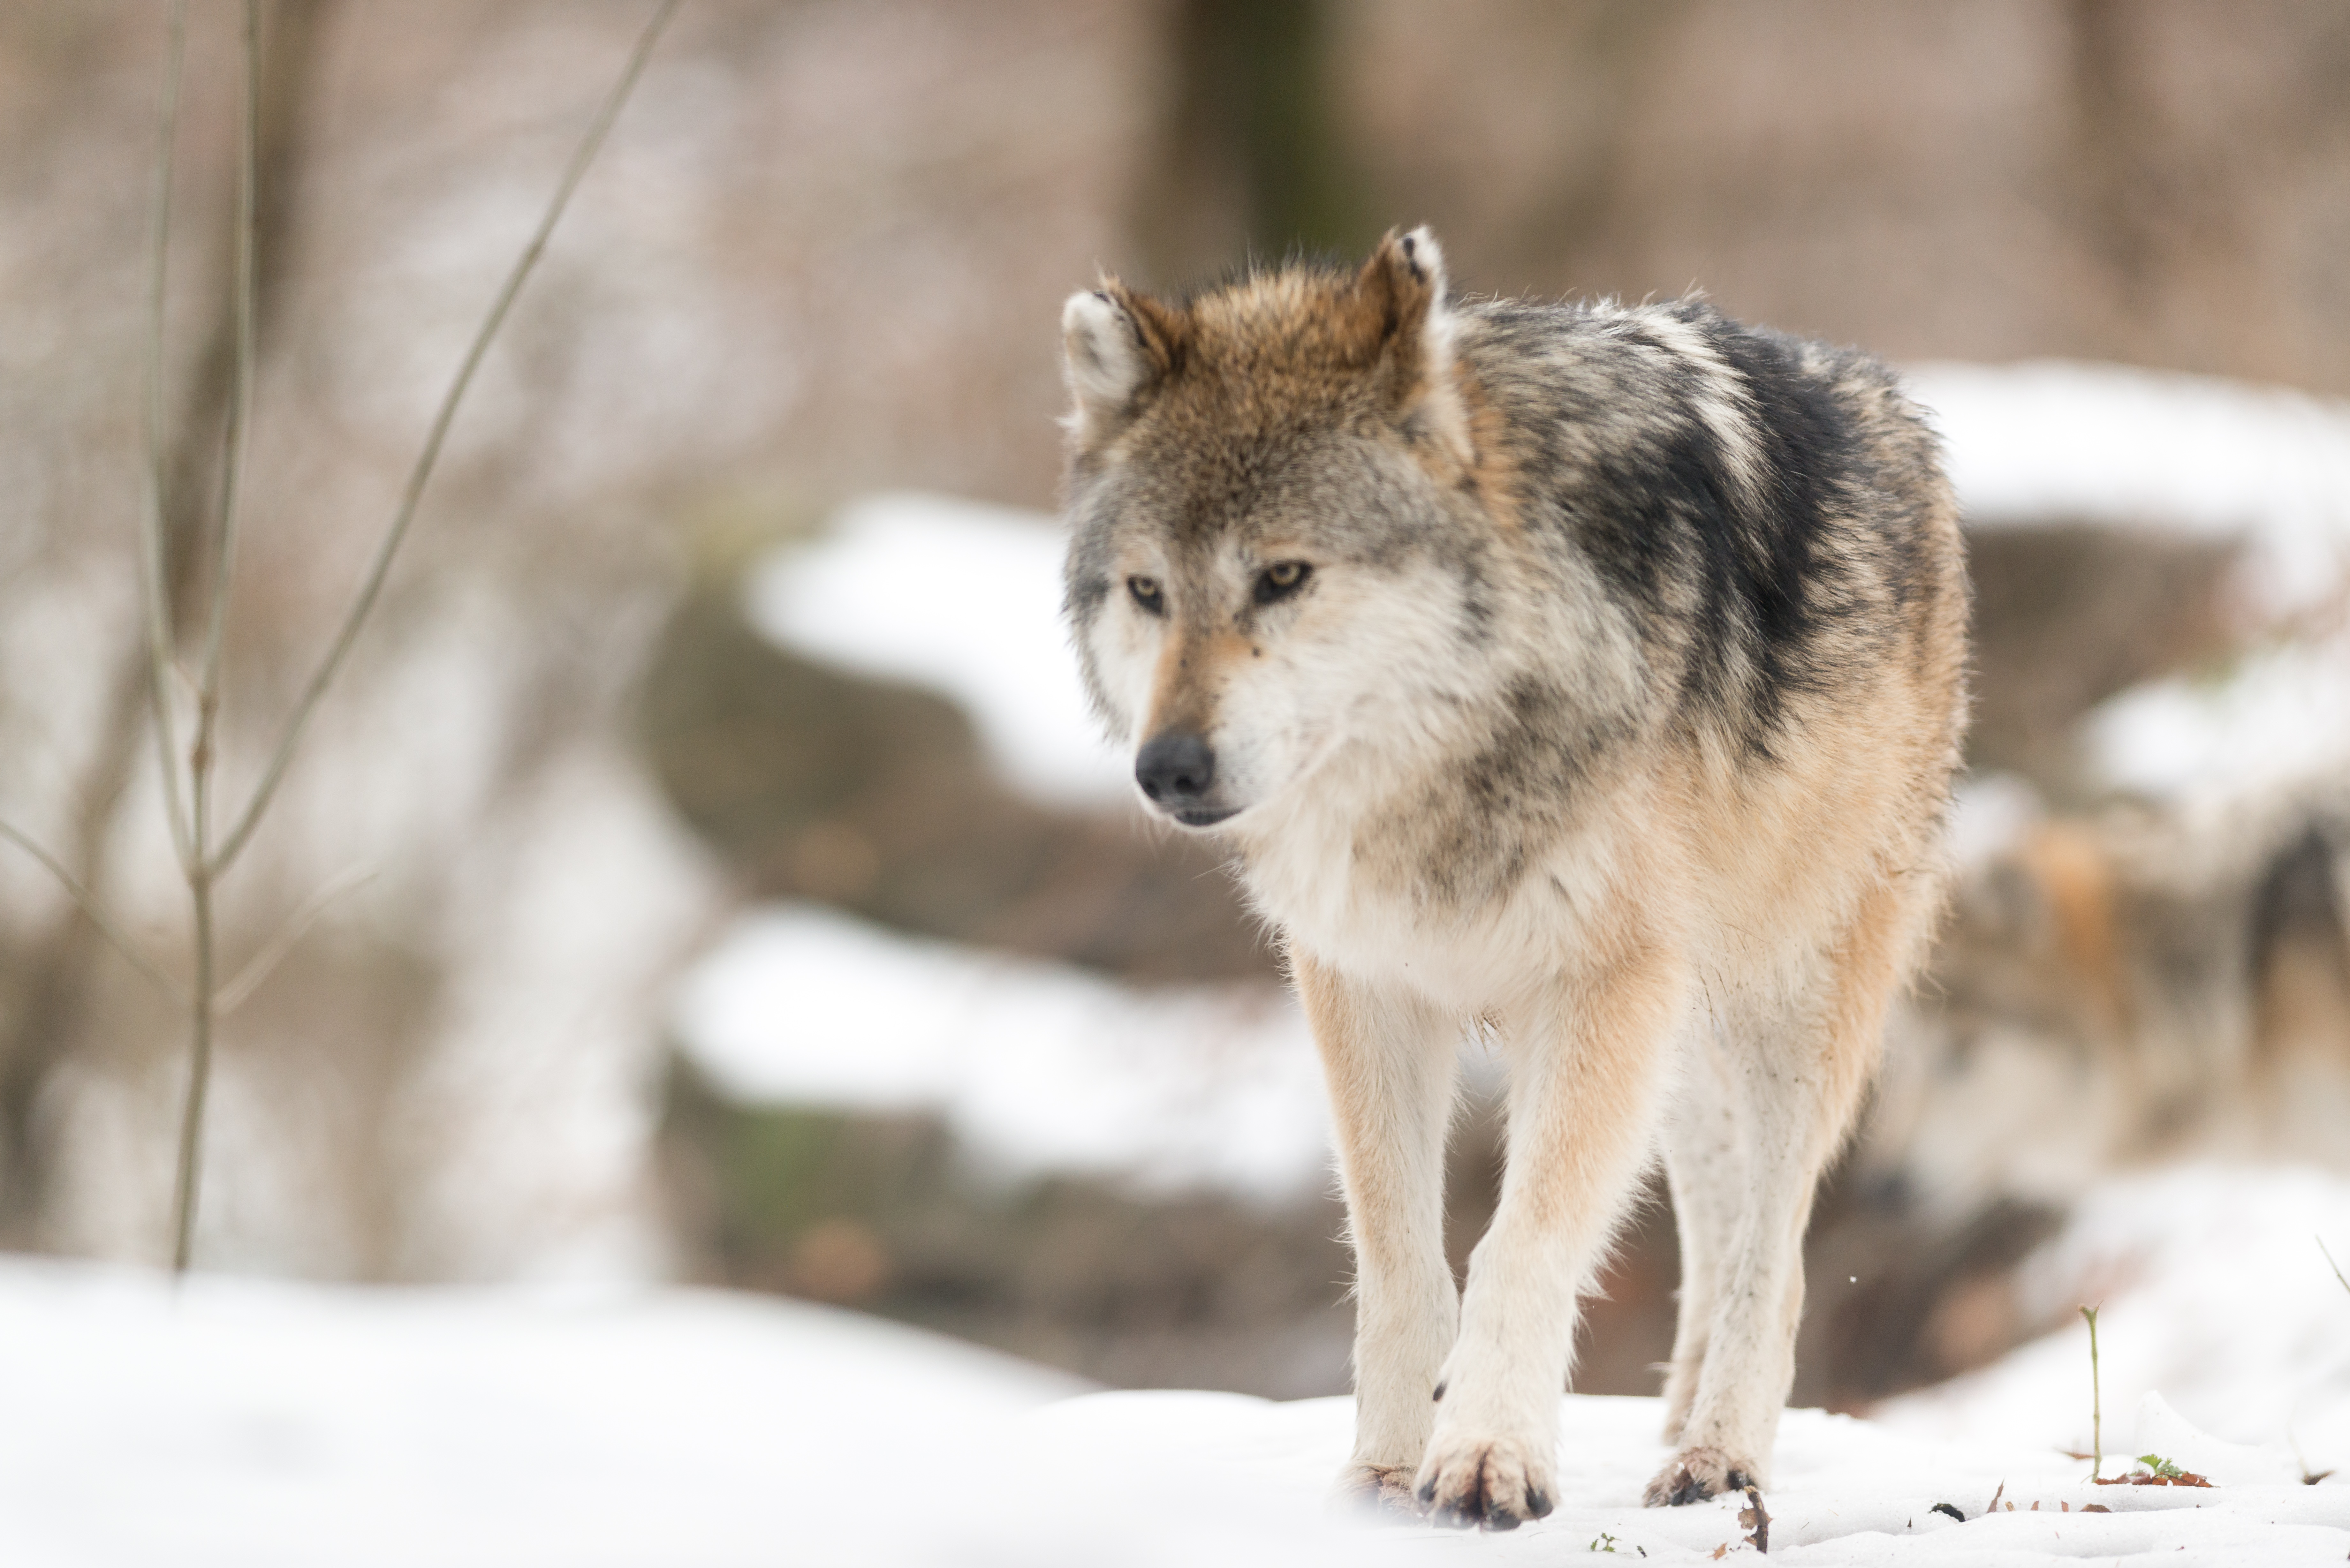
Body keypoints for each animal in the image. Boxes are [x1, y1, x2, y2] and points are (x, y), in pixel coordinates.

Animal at [1062, 227, 1964, 1523]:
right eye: (1147, 591)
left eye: (1284, 577)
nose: (1166, 767)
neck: (1448, 762)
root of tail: (1883, 395)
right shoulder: (1366, 985)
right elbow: (1398, 1250)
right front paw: (1384, 1472)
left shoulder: (1599, 985)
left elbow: (1524, 1237)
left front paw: (1488, 1453)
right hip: (1685, 1042)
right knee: (1714, 1225)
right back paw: (1676, 1421)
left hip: (1788, 998)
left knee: (1775, 1254)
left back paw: (1717, 1453)